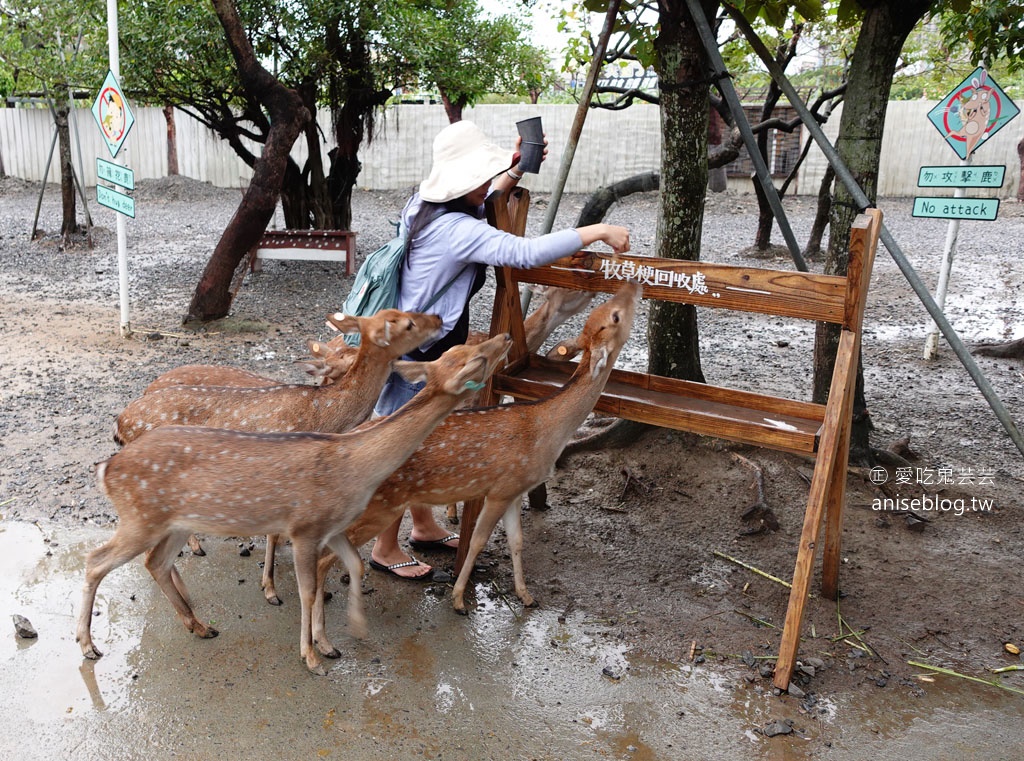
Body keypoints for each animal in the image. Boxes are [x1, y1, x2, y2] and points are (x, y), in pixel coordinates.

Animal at [76, 331, 512, 671]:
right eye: (471, 359)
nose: (505, 337)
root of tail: (110, 457)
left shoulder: (325, 526)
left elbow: (349, 565)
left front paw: (339, 633)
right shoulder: (303, 522)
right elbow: (303, 579)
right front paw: (302, 638)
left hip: (175, 520)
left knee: (155, 562)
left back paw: (198, 622)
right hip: (142, 517)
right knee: (97, 560)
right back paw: (89, 645)